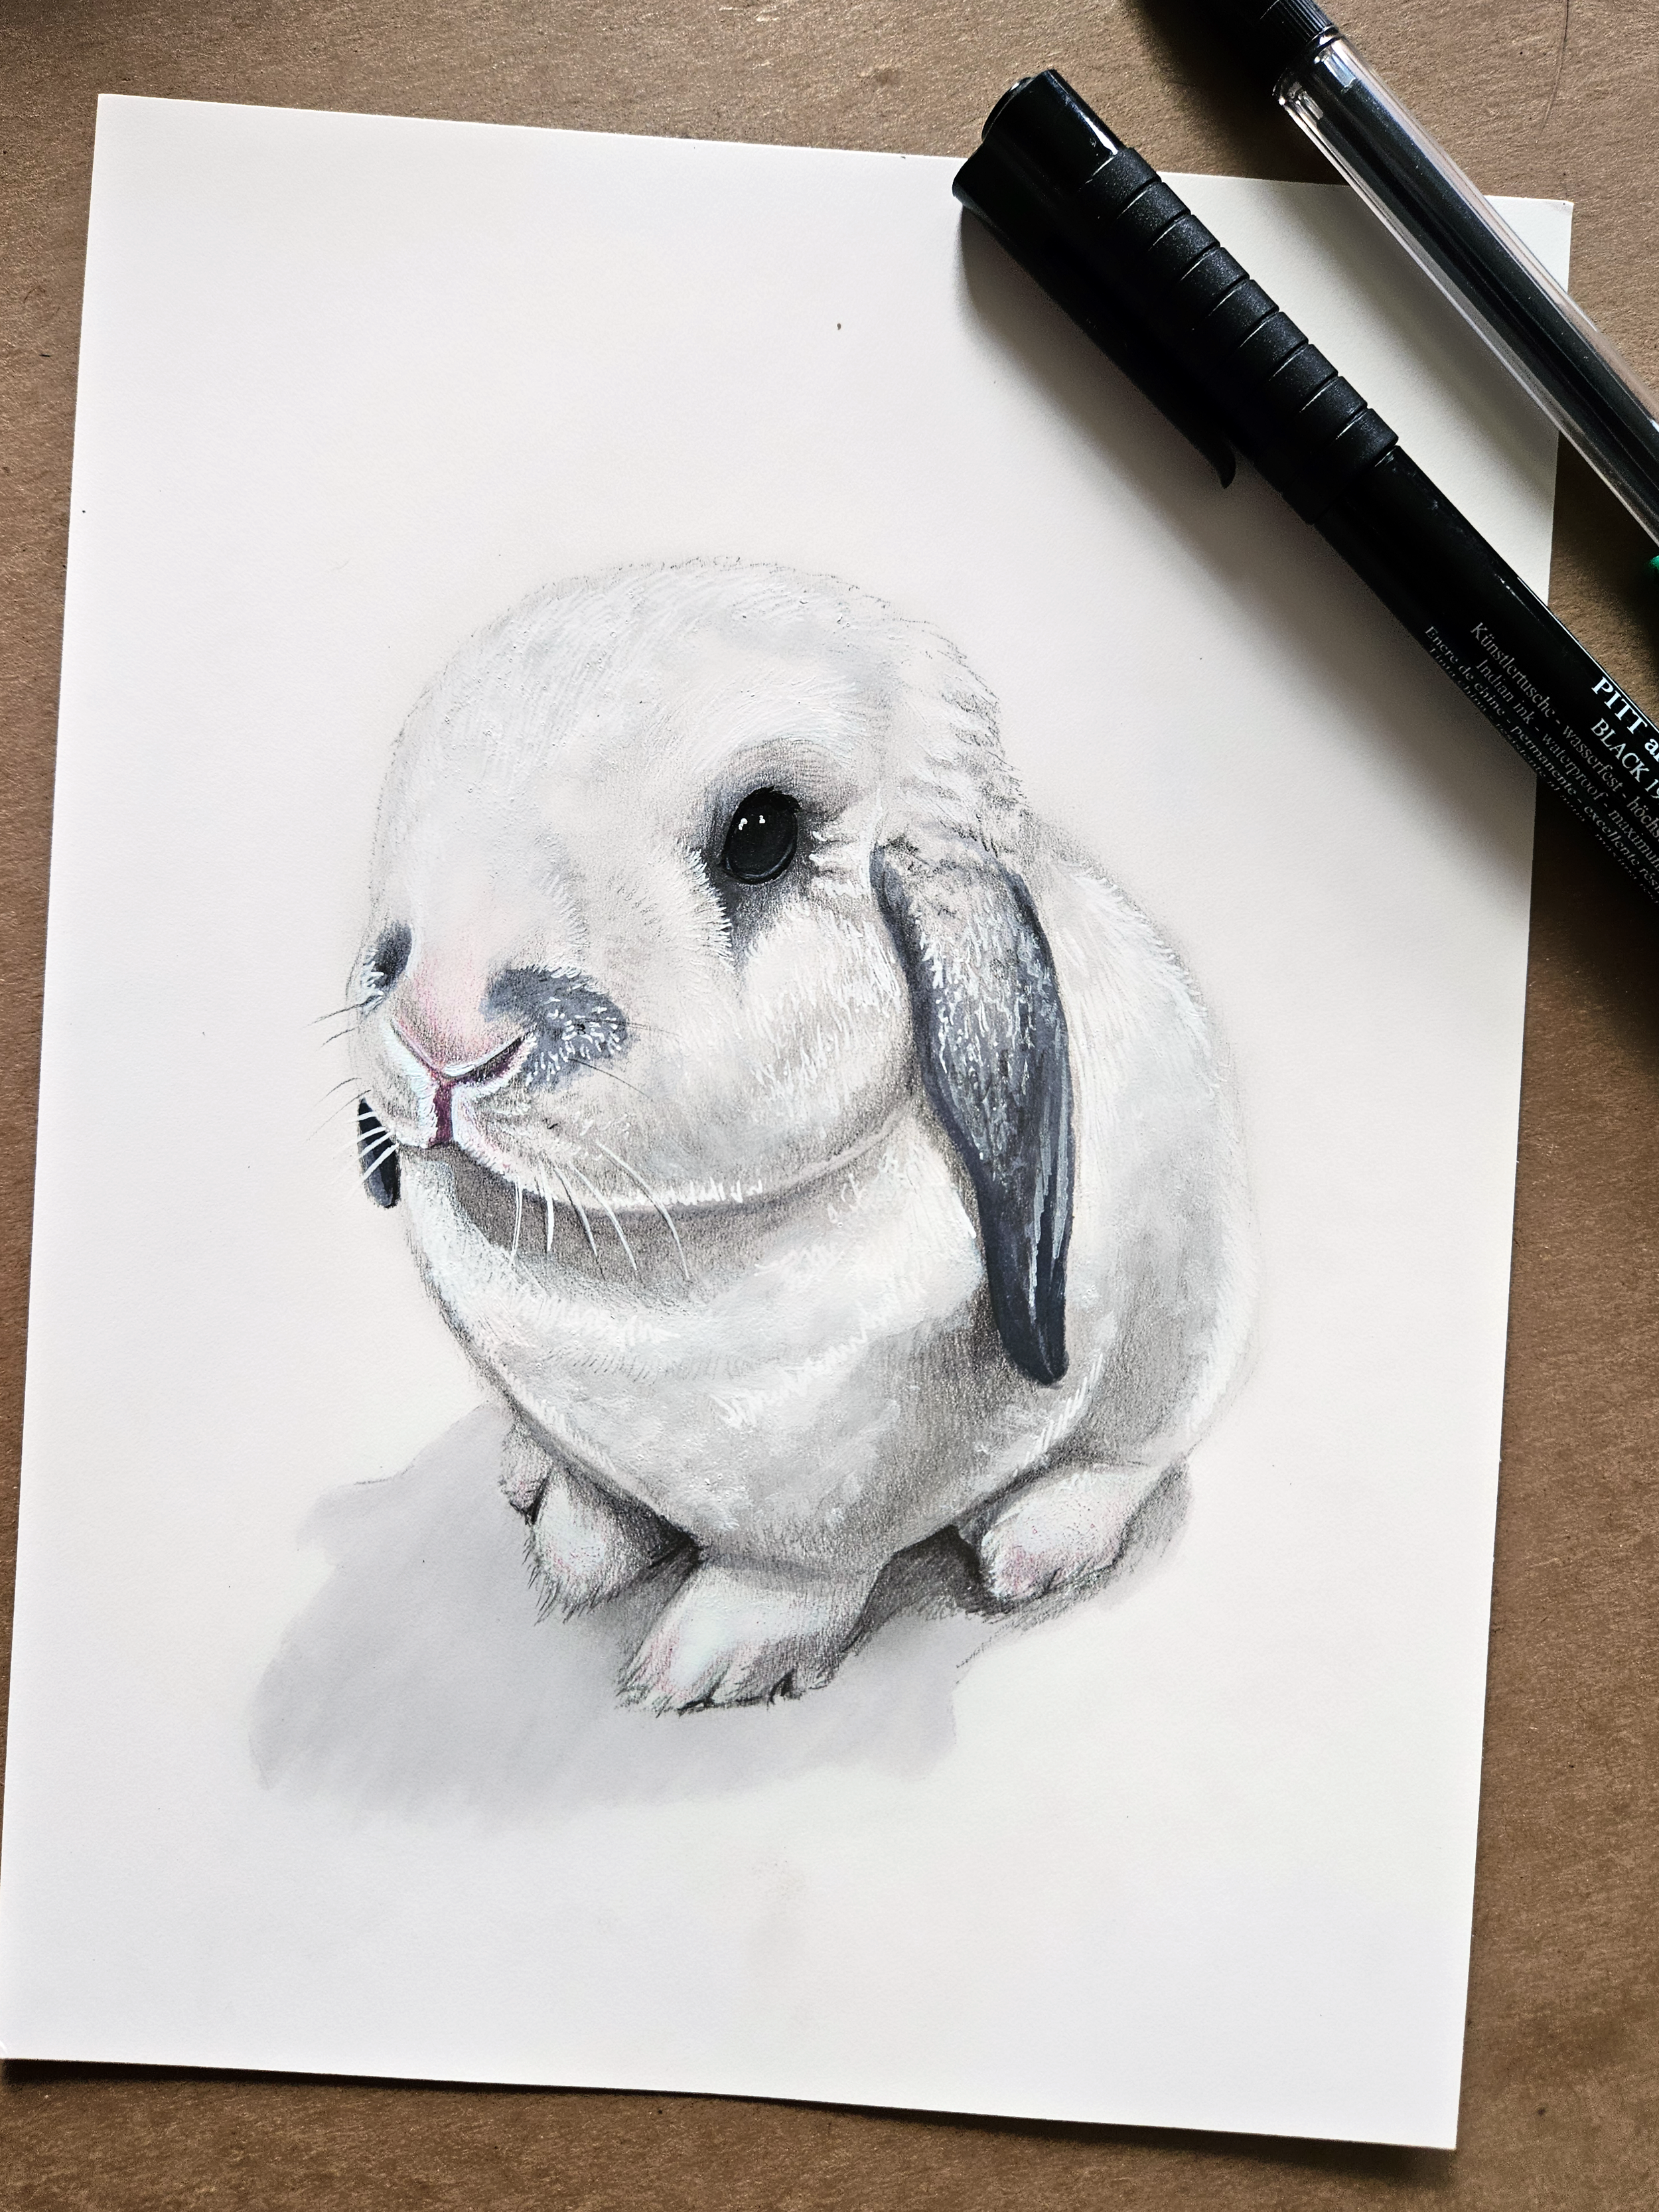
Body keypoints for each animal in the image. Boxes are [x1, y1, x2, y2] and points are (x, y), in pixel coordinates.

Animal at [349, 559, 1252, 1713]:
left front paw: (705, 1661)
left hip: (1185, 1343)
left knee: (1130, 1456)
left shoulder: (840, 1513)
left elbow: (795, 1578)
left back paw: (1034, 1545)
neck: (651, 1254)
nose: (443, 1039)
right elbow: (598, 1501)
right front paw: (576, 1556)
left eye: (760, 837)